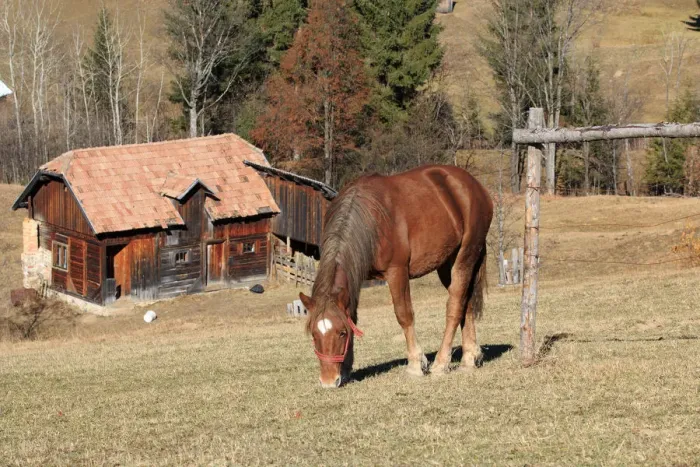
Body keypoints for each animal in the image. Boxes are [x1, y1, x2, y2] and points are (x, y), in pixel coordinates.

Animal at [299, 165, 493, 388]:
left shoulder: (396, 271)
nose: (329, 381)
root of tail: (475, 186)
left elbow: (404, 315)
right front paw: (347, 370)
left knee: (454, 306)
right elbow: (353, 317)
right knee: (465, 303)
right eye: (314, 334)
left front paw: (416, 364)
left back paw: (441, 363)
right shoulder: (356, 277)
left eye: (341, 333)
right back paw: (469, 357)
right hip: (447, 264)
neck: (371, 220)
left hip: (465, 257)